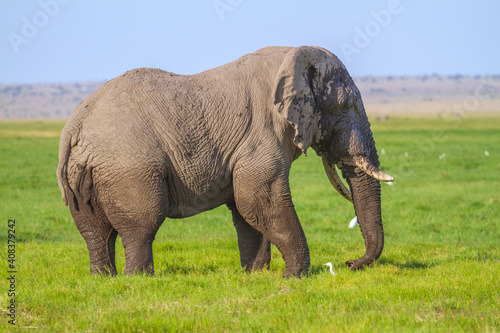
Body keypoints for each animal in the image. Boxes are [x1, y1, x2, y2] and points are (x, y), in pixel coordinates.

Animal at [57, 45, 394, 276]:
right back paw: (139, 279)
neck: (294, 57)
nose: (349, 262)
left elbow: (246, 208)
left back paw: (105, 278)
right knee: (142, 226)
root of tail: (75, 125)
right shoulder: (262, 134)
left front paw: (254, 274)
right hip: (130, 169)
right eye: (345, 106)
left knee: (95, 230)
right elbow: (257, 198)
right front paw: (295, 276)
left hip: (84, 173)